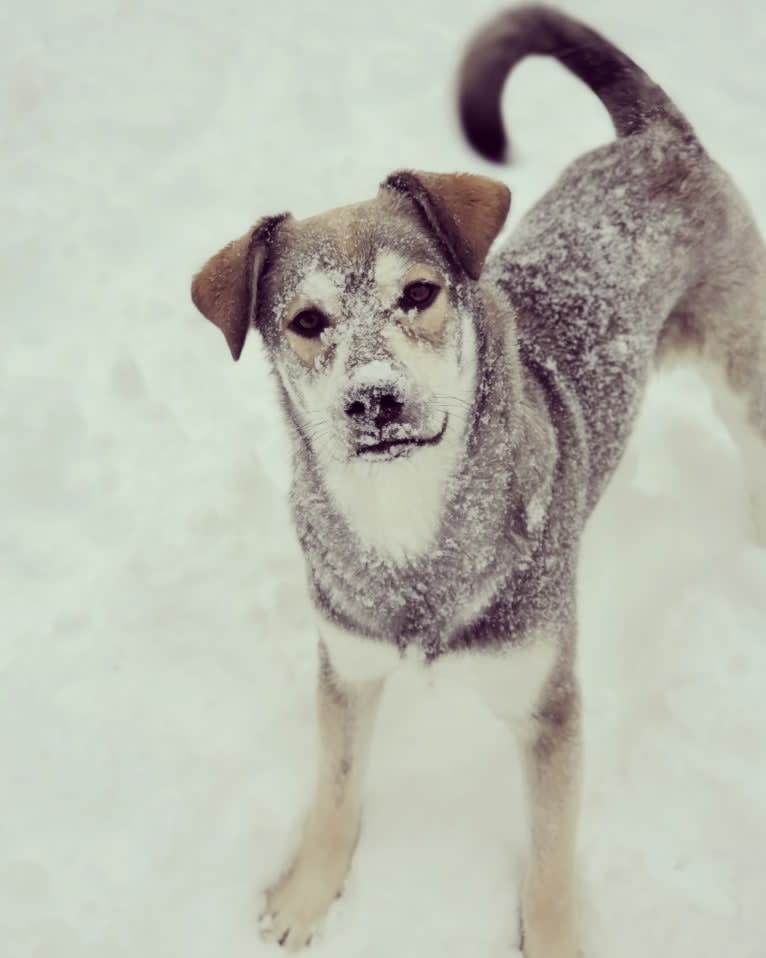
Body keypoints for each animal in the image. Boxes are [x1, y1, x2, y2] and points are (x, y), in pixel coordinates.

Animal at [190, 5, 766, 952]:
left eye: (419, 294)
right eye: (306, 321)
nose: (373, 400)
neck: (411, 533)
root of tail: (656, 136)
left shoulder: (549, 703)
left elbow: (549, 860)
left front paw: (555, 938)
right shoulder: (347, 665)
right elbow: (335, 793)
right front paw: (308, 897)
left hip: (741, 376)